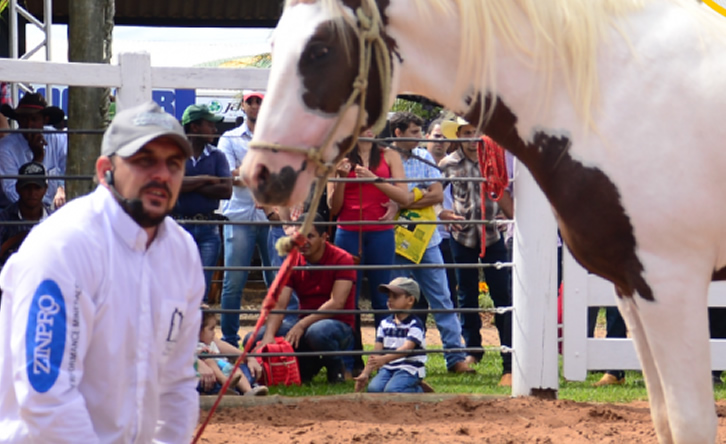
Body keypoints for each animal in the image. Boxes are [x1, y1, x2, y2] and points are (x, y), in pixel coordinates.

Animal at [242, 1, 726, 442]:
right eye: (275, 44)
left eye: (320, 49)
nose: (259, 173)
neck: (615, 95)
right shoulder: (630, 288)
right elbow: (665, 420)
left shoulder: (670, 286)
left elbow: (690, 423)